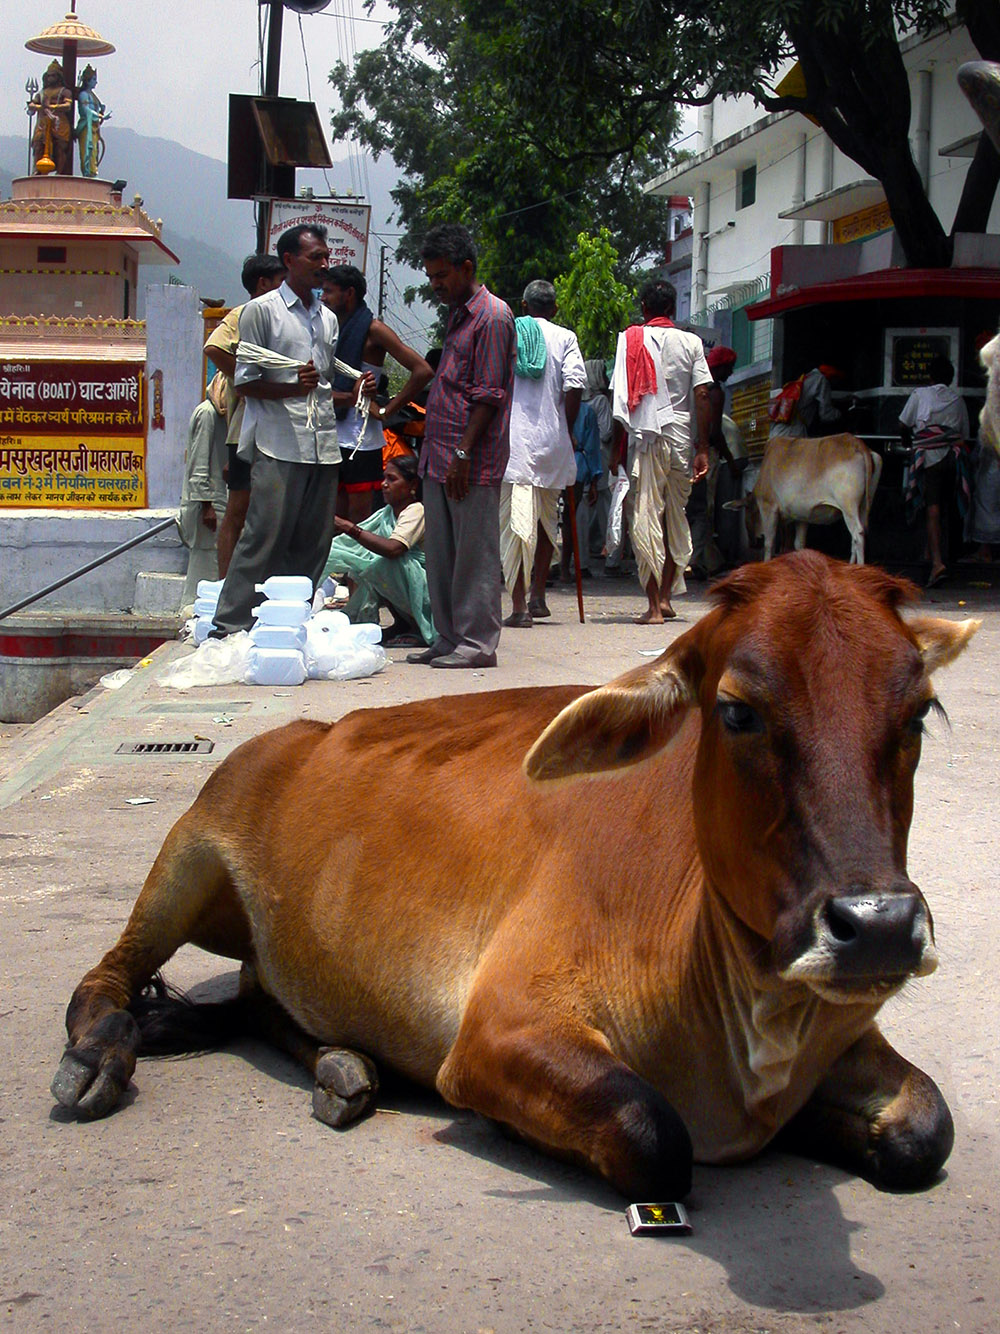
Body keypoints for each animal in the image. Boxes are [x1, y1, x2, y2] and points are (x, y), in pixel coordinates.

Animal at [53, 549, 981, 1200]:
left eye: (918, 711)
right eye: (737, 710)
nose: (878, 927)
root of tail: (308, 730)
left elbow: (924, 1128)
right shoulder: (498, 1032)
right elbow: (653, 1135)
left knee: (258, 997)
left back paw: (342, 1066)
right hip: (187, 857)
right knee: (107, 976)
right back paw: (100, 1055)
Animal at [736, 434, 885, 565]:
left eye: (747, 511)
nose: (752, 543)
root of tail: (858, 444)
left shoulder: (768, 507)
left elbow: (769, 543)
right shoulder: (802, 516)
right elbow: (799, 544)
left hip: (848, 507)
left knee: (858, 534)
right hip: (863, 506)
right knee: (857, 535)